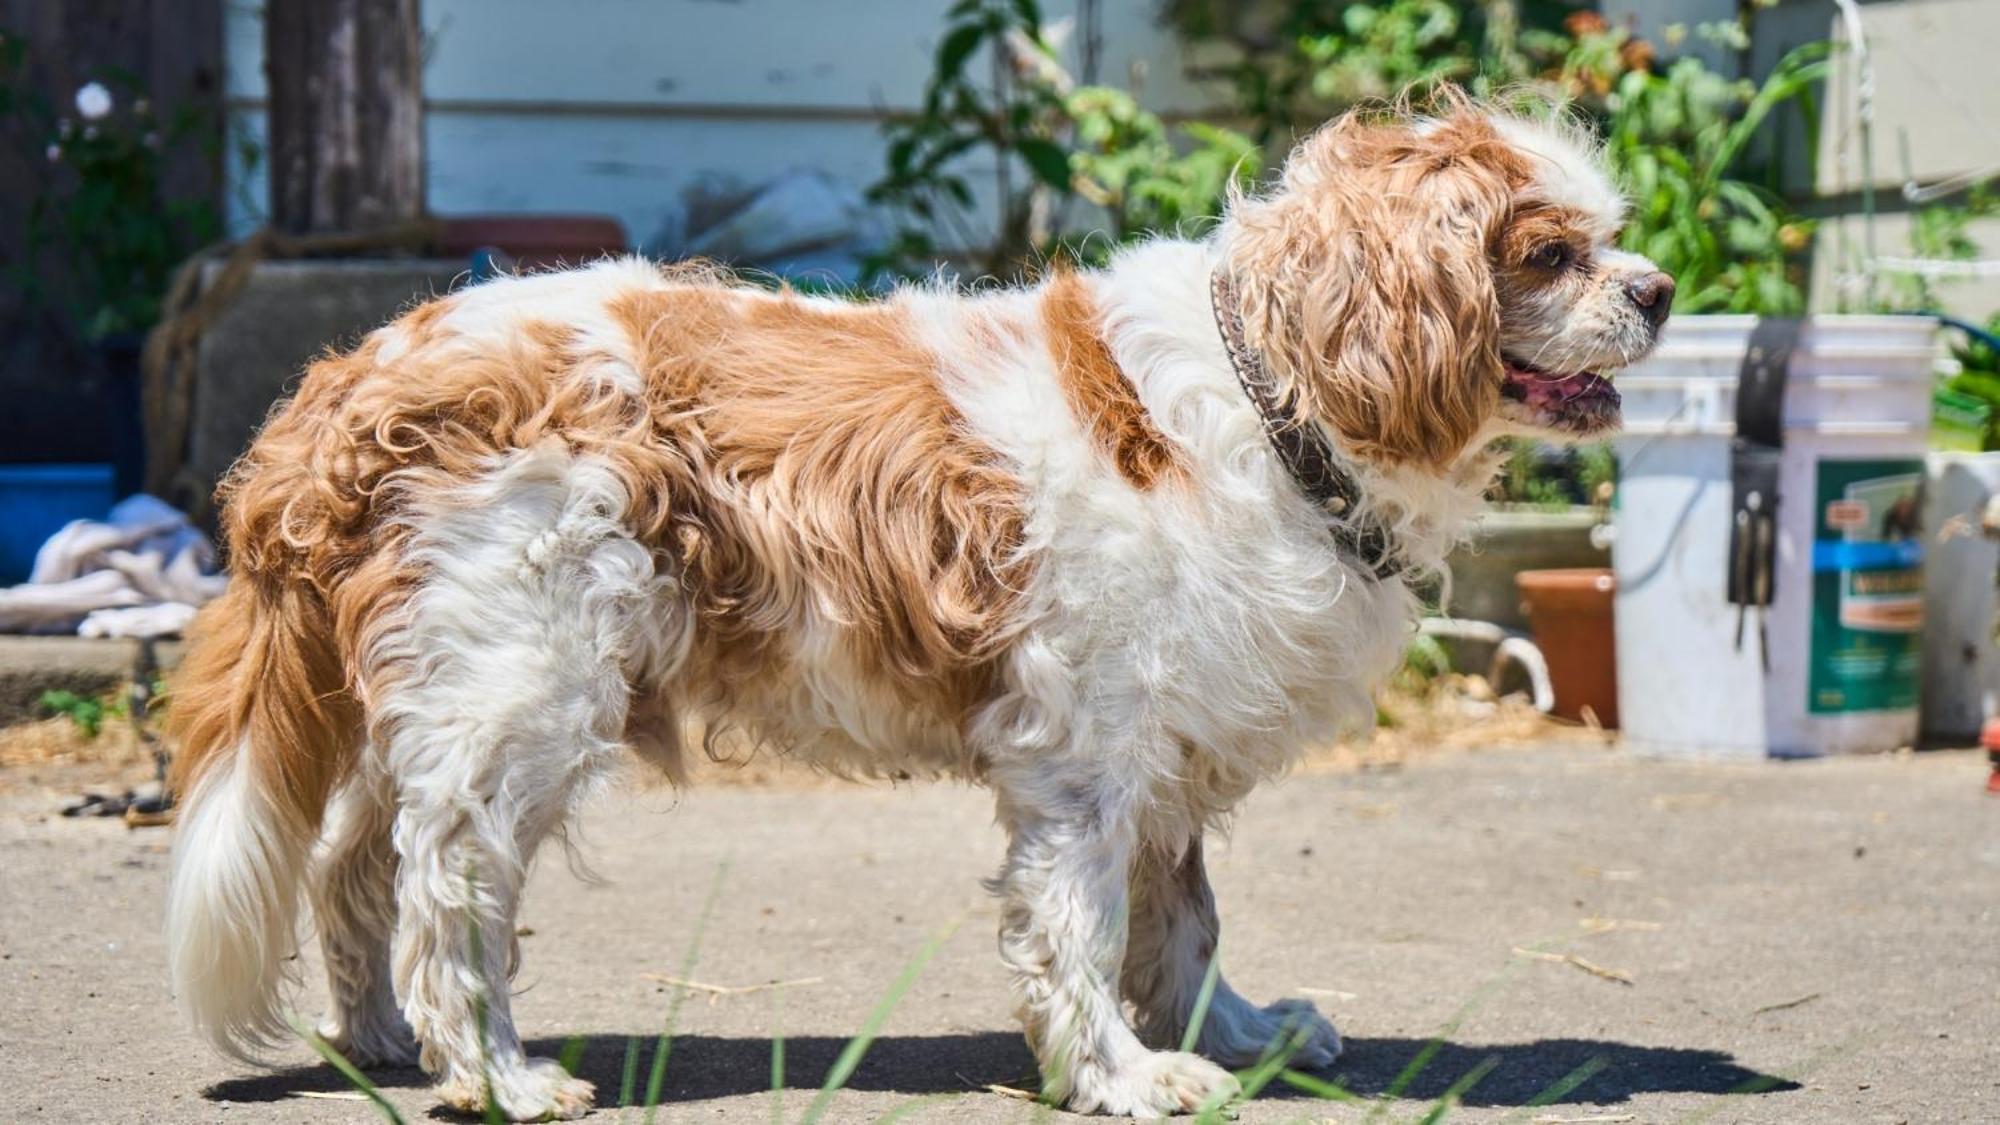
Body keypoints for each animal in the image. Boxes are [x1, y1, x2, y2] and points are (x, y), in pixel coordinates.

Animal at [168, 96, 1672, 1112]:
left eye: (1611, 241)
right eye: (1547, 253)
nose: (1659, 290)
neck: (1276, 397)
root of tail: (357, 370)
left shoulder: (1168, 746)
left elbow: (1186, 919)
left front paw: (1233, 1037)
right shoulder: (1083, 758)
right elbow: (1083, 927)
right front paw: (1123, 1073)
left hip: (431, 695)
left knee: (354, 866)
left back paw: (383, 1041)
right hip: (520, 698)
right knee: (447, 890)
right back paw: (493, 1074)